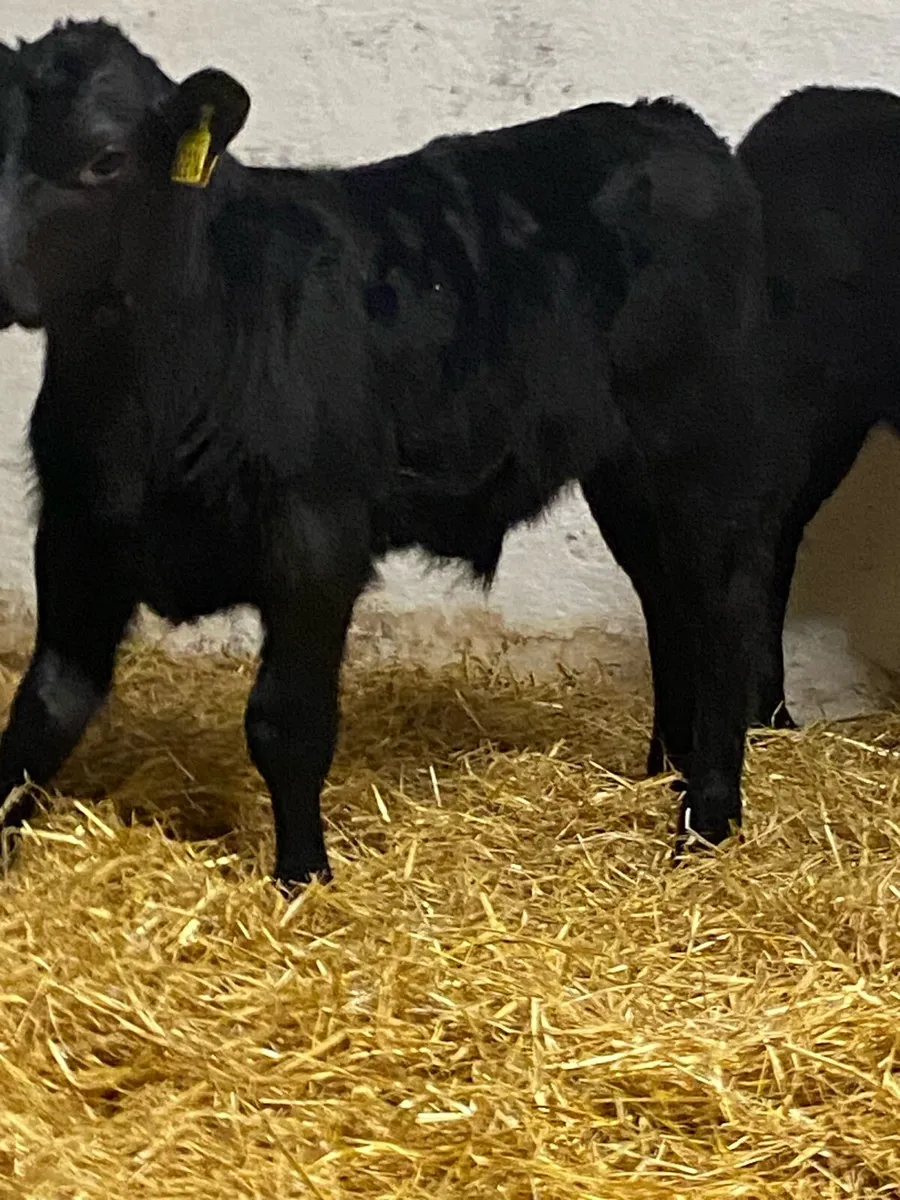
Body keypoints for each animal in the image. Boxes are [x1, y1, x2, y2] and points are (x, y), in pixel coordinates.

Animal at [0, 19, 781, 887]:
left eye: (106, 158)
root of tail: (669, 122)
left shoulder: (317, 537)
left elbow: (286, 721)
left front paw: (303, 879)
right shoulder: (77, 532)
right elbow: (45, 709)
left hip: (706, 446)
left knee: (727, 606)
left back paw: (705, 822)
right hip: (626, 474)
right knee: (667, 600)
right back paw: (663, 774)